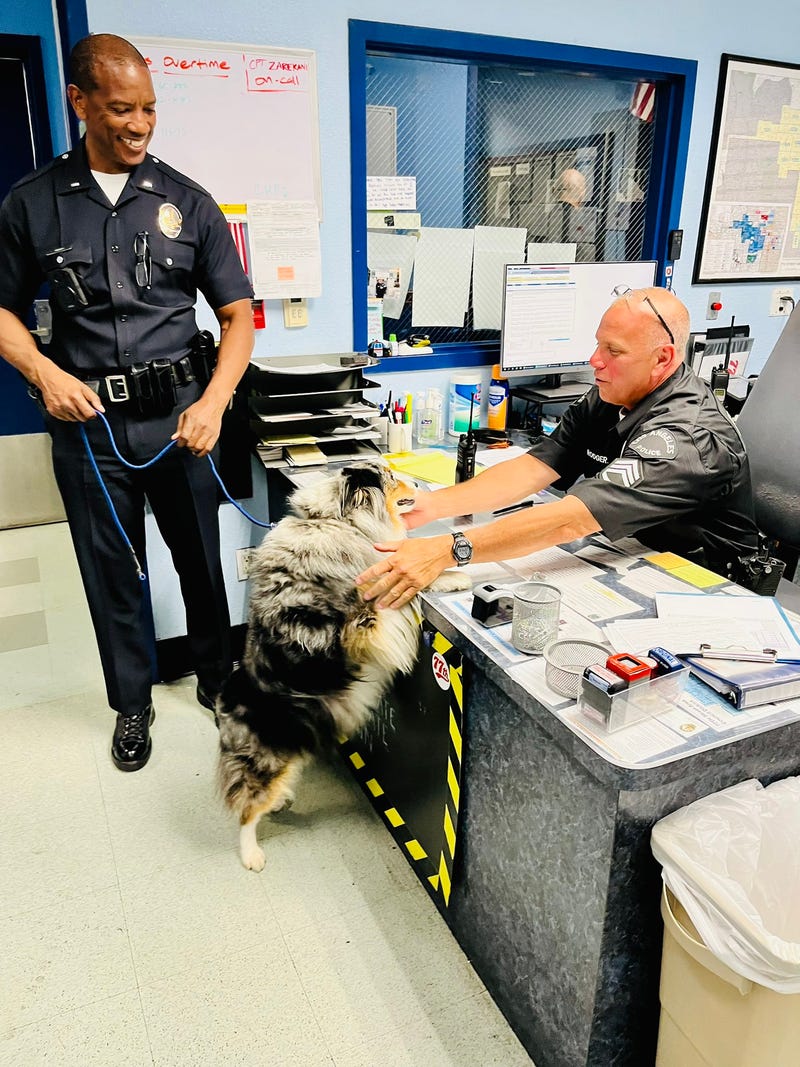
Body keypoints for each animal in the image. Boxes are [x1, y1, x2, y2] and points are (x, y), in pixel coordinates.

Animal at [216, 456, 473, 866]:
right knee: (247, 808)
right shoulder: (362, 622)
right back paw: (252, 854)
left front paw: (448, 576)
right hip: (270, 759)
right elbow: (400, 591)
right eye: (392, 478)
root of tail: (227, 701)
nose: (420, 485)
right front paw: (450, 579)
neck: (338, 519)